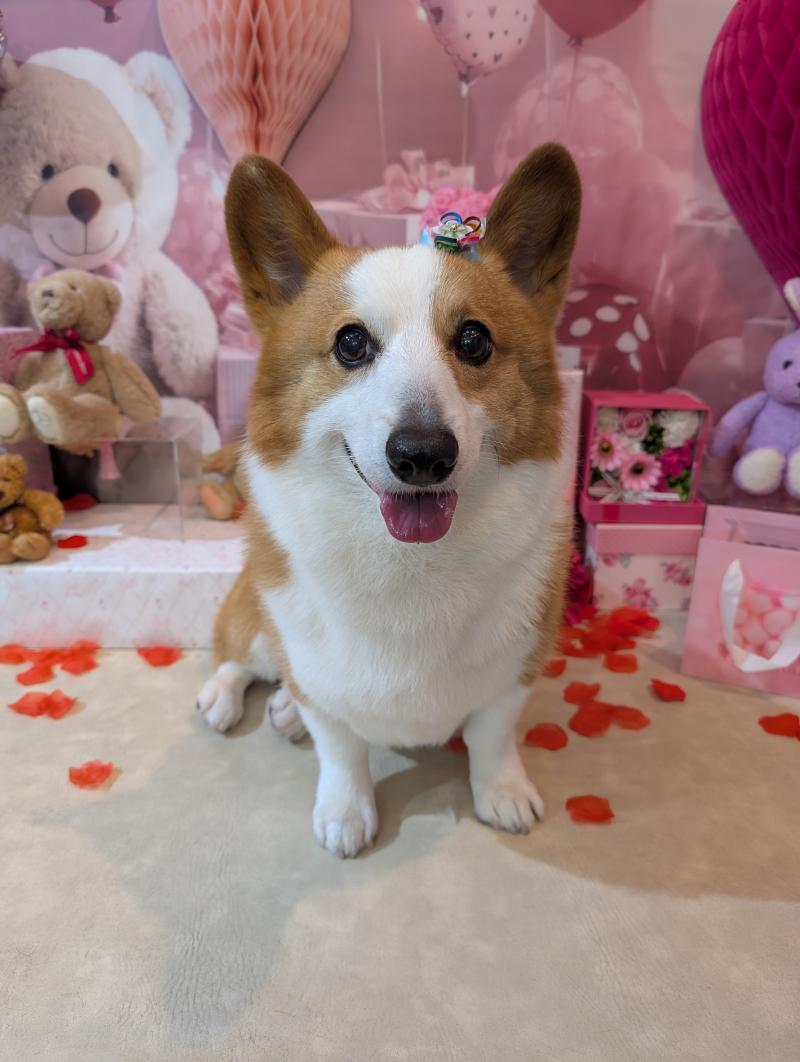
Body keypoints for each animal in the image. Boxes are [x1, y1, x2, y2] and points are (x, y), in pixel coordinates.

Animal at [197, 143, 581, 857]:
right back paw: (226, 696)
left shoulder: (514, 672)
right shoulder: (317, 678)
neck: (408, 565)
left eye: (474, 340)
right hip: (256, 618)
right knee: (240, 654)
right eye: (351, 343)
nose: (422, 454)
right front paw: (346, 814)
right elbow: (340, 747)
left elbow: (493, 740)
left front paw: (503, 794)